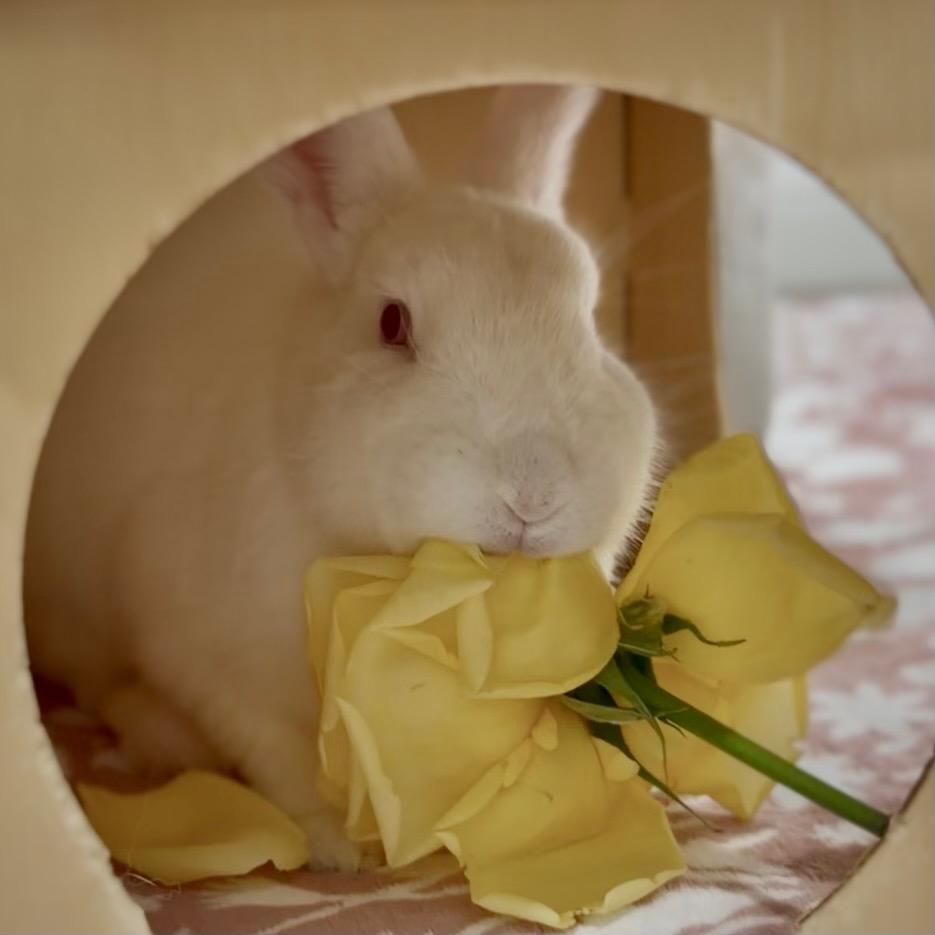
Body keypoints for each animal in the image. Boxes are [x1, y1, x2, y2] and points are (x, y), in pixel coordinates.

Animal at [24, 85, 659, 871]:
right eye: (391, 324)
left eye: (592, 323)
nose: (532, 495)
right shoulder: (209, 658)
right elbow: (278, 753)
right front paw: (335, 848)